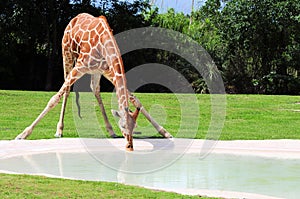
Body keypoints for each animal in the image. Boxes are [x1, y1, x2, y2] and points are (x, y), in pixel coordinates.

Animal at [15, 13, 172, 150]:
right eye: (122, 126)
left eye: (135, 127)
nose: (129, 146)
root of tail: (74, 18)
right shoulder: (80, 66)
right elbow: (54, 99)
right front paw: (23, 134)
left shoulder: (109, 71)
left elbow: (135, 99)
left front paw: (165, 132)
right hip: (67, 54)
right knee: (67, 90)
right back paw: (59, 130)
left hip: (96, 71)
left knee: (95, 89)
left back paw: (110, 130)